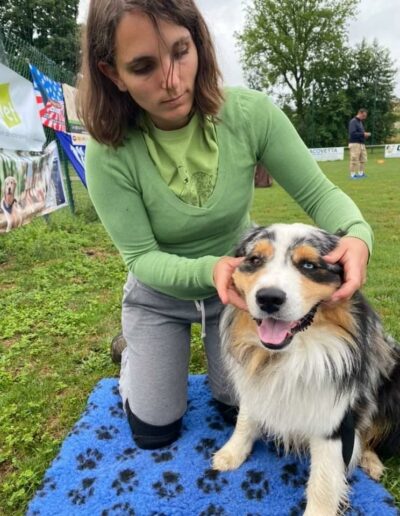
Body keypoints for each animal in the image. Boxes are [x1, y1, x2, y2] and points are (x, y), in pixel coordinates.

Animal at [214, 224, 400, 516]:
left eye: (309, 265)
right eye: (254, 260)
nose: (269, 298)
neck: (291, 355)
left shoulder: (334, 418)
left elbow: (323, 481)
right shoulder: (255, 386)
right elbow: (246, 417)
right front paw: (231, 453)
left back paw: (371, 461)